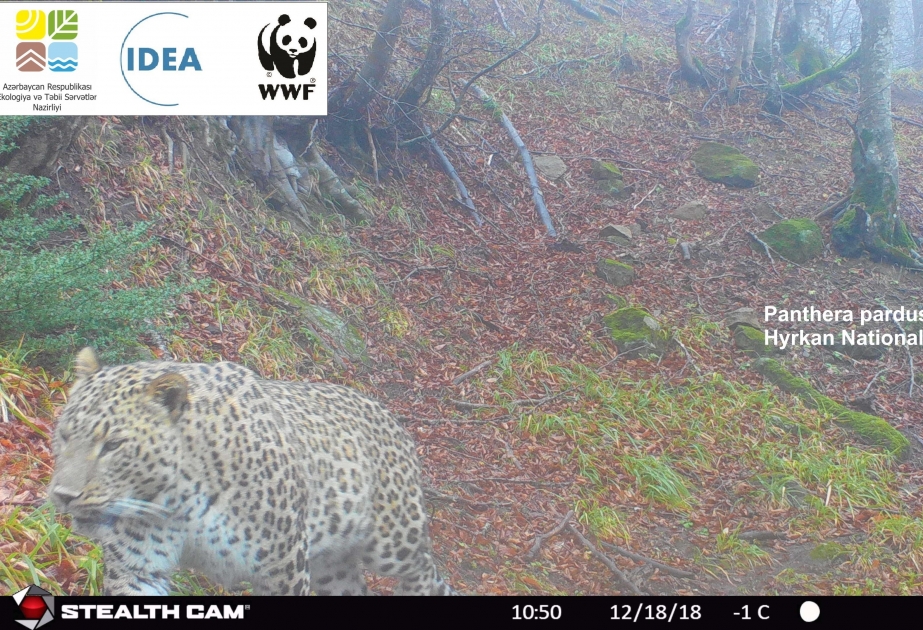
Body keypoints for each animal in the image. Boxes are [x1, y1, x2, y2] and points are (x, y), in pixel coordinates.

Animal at [50, 348, 456, 596]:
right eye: (65, 434)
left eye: (113, 445)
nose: (63, 496)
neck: (173, 504)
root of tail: (389, 414)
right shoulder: (138, 569)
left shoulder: (284, 566)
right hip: (331, 562)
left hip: (391, 540)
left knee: (425, 568)